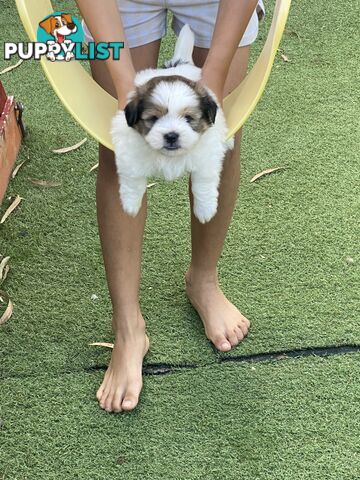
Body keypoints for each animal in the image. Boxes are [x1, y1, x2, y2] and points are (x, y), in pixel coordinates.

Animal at [110, 24, 233, 223]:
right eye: (153, 119)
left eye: (189, 118)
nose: (171, 136)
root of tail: (179, 63)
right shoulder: (128, 151)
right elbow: (133, 178)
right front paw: (130, 205)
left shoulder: (207, 154)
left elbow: (203, 181)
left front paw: (205, 210)